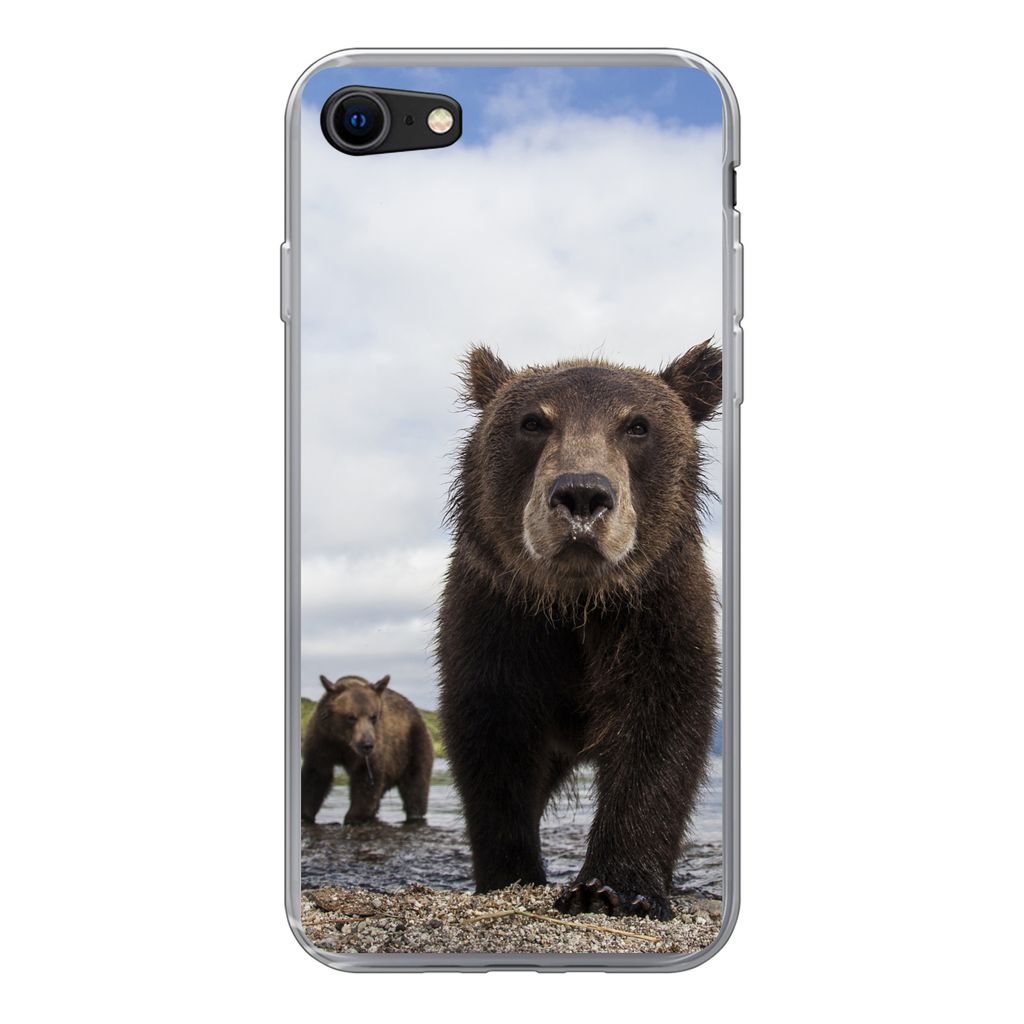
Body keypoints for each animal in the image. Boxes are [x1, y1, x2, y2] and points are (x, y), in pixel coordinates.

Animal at [301, 674, 434, 826]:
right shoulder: (322, 740)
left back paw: (414, 814)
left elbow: (367, 779)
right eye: (351, 717)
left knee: (415, 786)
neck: (343, 741)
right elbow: (316, 775)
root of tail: (417, 712)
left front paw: (354, 817)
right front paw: (306, 814)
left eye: (373, 716)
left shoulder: (373, 749)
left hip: (414, 744)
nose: (367, 744)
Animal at [437, 340, 722, 920]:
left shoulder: (656, 612)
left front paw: (615, 889)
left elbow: (662, 727)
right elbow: (492, 738)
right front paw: (510, 873)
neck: (575, 603)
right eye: (533, 421)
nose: (582, 495)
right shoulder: (499, 619)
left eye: (637, 425)